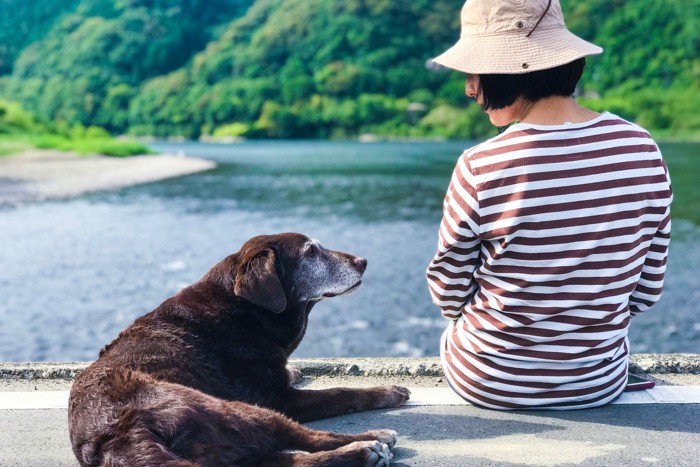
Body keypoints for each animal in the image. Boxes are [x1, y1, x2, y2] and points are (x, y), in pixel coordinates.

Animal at [68, 234, 410, 467]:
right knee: (310, 438)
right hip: (242, 410)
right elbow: (343, 393)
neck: (244, 307)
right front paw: (389, 391)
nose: (363, 261)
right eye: (312, 251)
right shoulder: (279, 398)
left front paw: (295, 369)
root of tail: (120, 439)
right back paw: (370, 443)